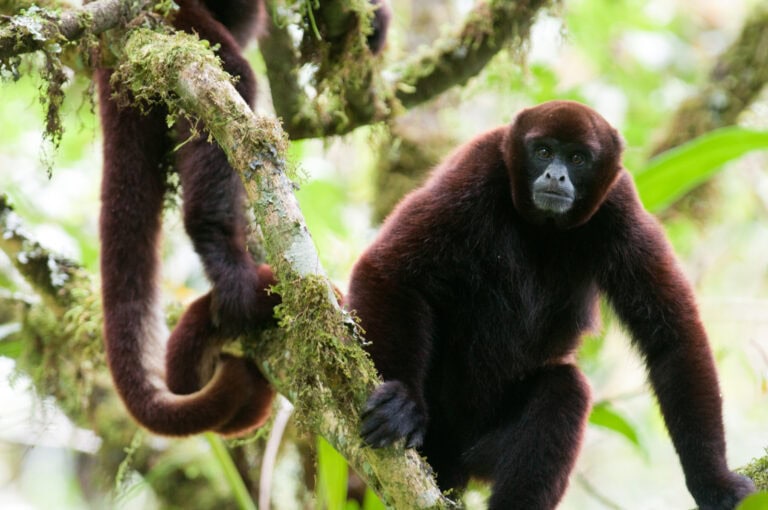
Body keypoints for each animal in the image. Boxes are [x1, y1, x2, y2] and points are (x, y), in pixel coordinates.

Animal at [352, 101, 755, 509]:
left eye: (578, 158)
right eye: (543, 151)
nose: (556, 175)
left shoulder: (619, 207)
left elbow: (672, 337)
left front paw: (714, 482)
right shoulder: (475, 170)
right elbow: (390, 271)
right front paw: (403, 401)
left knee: (565, 388)